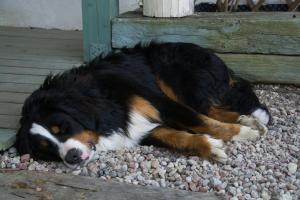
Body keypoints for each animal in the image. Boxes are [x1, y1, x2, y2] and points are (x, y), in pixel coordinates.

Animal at [15, 42, 270, 169]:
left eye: (63, 127)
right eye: (46, 148)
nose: (72, 157)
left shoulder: (159, 101)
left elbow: (199, 121)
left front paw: (242, 134)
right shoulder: (142, 129)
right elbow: (178, 137)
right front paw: (209, 147)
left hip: (173, 74)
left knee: (206, 109)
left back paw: (250, 123)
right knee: (212, 108)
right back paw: (248, 119)